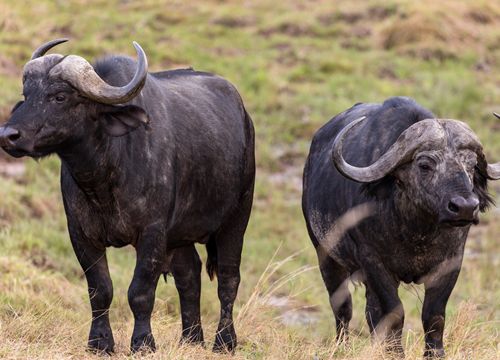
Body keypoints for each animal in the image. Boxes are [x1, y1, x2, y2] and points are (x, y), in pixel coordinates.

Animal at [0, 38, 256, 352]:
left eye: (59, 96)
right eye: (27, 94)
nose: (8, 135)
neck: (104, 178)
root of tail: (245, 118)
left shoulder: (152, 233)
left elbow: (140, 292)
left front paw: (143, 342)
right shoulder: (81, 234)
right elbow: (100, 289)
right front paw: (99, 343)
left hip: (236, 218)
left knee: (229, 279)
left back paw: (224, 341)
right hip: (180, 235)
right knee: (189, 275)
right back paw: (191, 339)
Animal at [302, 96, 498, 358]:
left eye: (471, 165)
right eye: (425, 165)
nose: (465, 207)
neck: (416, 231)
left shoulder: (451, 262)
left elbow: (433, 314)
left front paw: (435, 353)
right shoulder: (373, 262)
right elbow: (394, 313)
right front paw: (395, 353)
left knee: (370, 312)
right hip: (326, 256)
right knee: (343, 308)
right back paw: (341, 347)